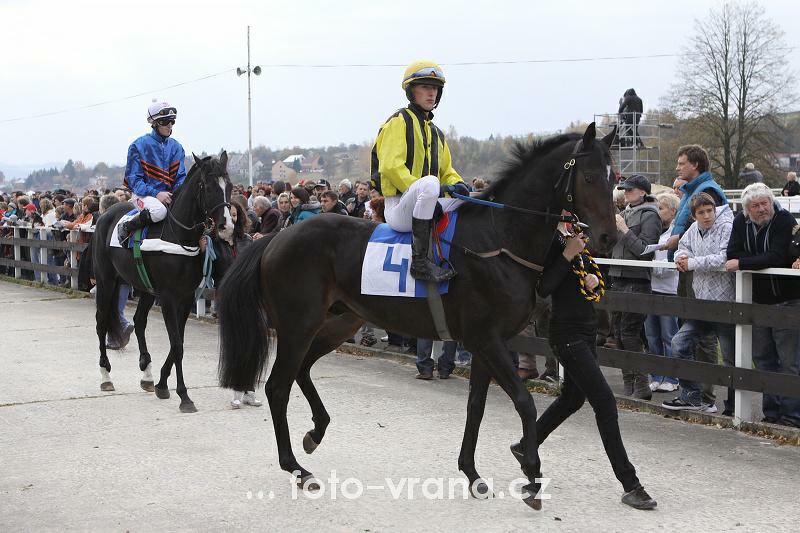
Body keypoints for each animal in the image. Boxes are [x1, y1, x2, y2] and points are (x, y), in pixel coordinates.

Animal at [93, 152, 233, 414]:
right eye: (208, 187)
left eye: (229, 186)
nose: (226, 226)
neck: (178, 236)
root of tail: (107, 212)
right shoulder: (168, 296)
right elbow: (176, 344)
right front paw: (184, 396)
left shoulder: (186, 296)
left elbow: (179, 342)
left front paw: (160, 383)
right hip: (106, 280)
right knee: (101, 322)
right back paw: (106, 376)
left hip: (146, 288)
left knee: (139, 321)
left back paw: (146, 373)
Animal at [216, 123, 616, 508]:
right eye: (590, 176)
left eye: (614, 178)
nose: (607, 238)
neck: (497, 241)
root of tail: (278, 237)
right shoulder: (487, 340)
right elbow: (524, 402)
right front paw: (532, 476)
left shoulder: (485, 344)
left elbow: (476, 406)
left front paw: (472, 473)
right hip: (299, 325)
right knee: (277, 386)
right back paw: (296, 468)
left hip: (340, 322)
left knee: (302, 370)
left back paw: (316, 432)